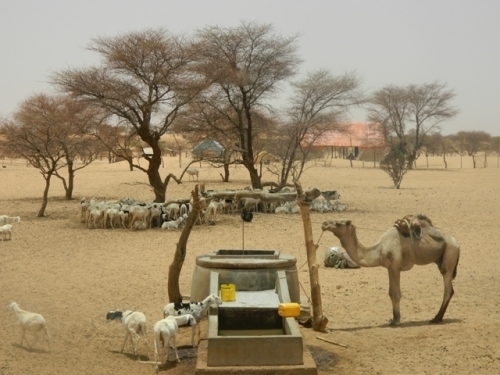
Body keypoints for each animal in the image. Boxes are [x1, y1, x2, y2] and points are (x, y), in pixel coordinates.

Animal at [322, 216, 458, 328]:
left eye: (339, 223)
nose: (324, 223)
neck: (379, 250)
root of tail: (457, 244)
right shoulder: (389, 268)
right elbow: (390, 293)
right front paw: (393, 319)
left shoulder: (395, 267)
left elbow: (395, 294)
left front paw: (396, 321)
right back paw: (438, 318)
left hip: (450, 254)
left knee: (448, 288)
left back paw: (436, 318)